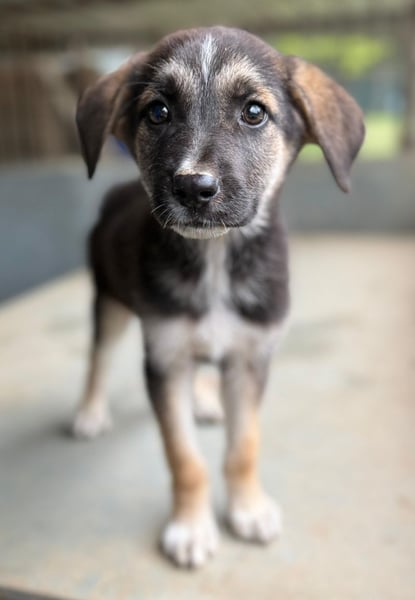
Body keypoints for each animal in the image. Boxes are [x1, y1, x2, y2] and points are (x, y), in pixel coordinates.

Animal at [73, 26, 365, 568]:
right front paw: (190, 529)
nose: (193, 188)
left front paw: (248, 510)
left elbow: (243, 447)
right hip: (109, 299)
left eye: (254, 112)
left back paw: (205, 402)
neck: (215, 260)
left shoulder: (249, 357)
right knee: (98, 358)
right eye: (158, 111)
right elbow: (184, 458)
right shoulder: (164, 358)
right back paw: (90, 411)